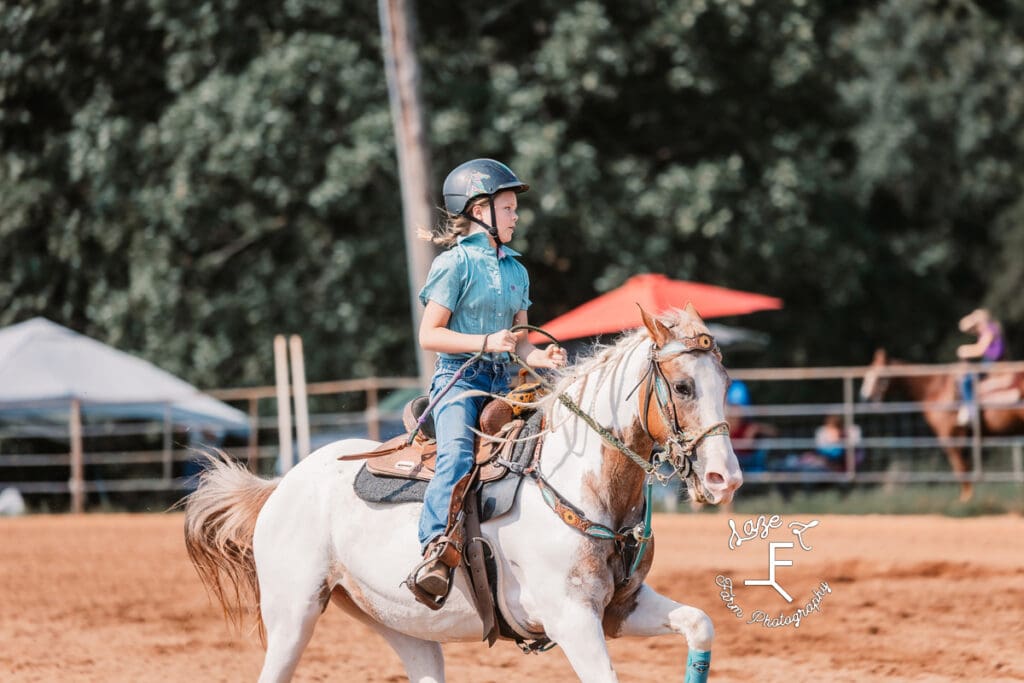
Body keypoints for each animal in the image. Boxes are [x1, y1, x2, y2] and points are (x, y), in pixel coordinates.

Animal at [184, 305, 741, 683]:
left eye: (725, 382)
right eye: (684, 387)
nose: (725, 479)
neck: (579, 483)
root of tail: (283, 485)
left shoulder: (620, 607)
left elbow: (700, 624)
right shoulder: (571, 618)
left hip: (401, 625)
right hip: (292, 612)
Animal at [864, 350, 1024, 499]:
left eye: (878, 374)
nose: (866, 396)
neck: (935, 391)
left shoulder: (952, 438)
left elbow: (961, 469)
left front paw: (966, 499)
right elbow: (964, 468)